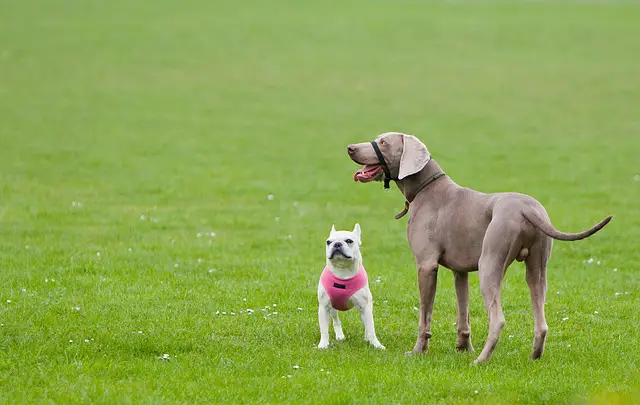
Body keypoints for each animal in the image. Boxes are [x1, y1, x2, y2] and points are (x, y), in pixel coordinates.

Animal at [348, 131, 612, 362]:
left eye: (383, 142)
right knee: (541, 319)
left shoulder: (426, 266)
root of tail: (526, 209)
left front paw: (418, 351)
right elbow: (463, 312)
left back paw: (482, 360)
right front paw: (463, 348)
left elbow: (425, 316)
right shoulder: (460, 271)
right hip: (537, 268)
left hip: (489, 264)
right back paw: (534, 357)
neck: (426, 189)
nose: (349, 148)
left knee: (498, 319)